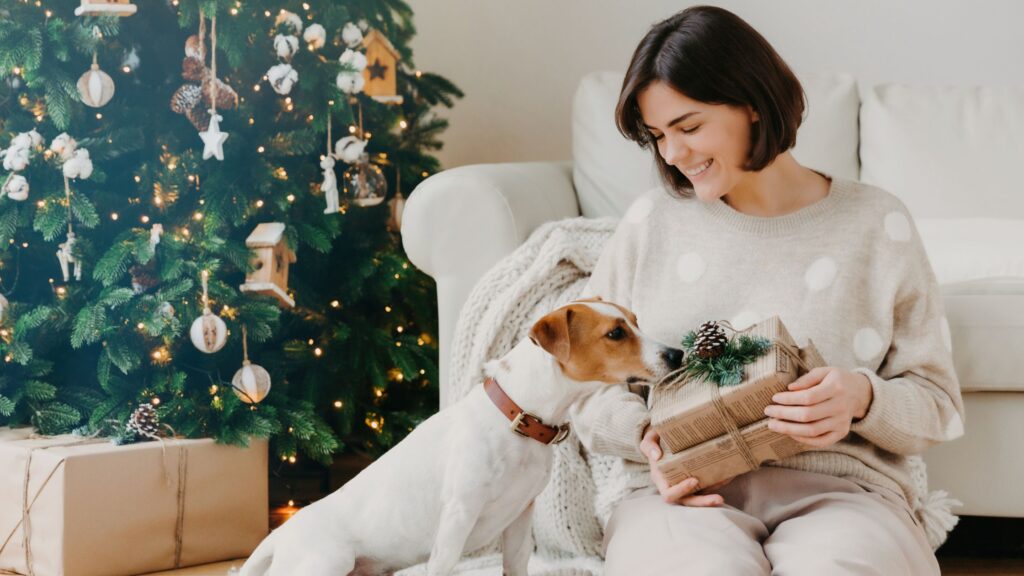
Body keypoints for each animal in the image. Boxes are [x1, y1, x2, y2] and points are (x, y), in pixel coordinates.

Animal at [240, 295, 684, 573]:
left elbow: (515, 566)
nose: (676, 353)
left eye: (636, 321)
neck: (518, 420)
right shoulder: (457, 517)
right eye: (615, 334)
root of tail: (279, 535)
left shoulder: (520, 516)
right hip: (328, 562)